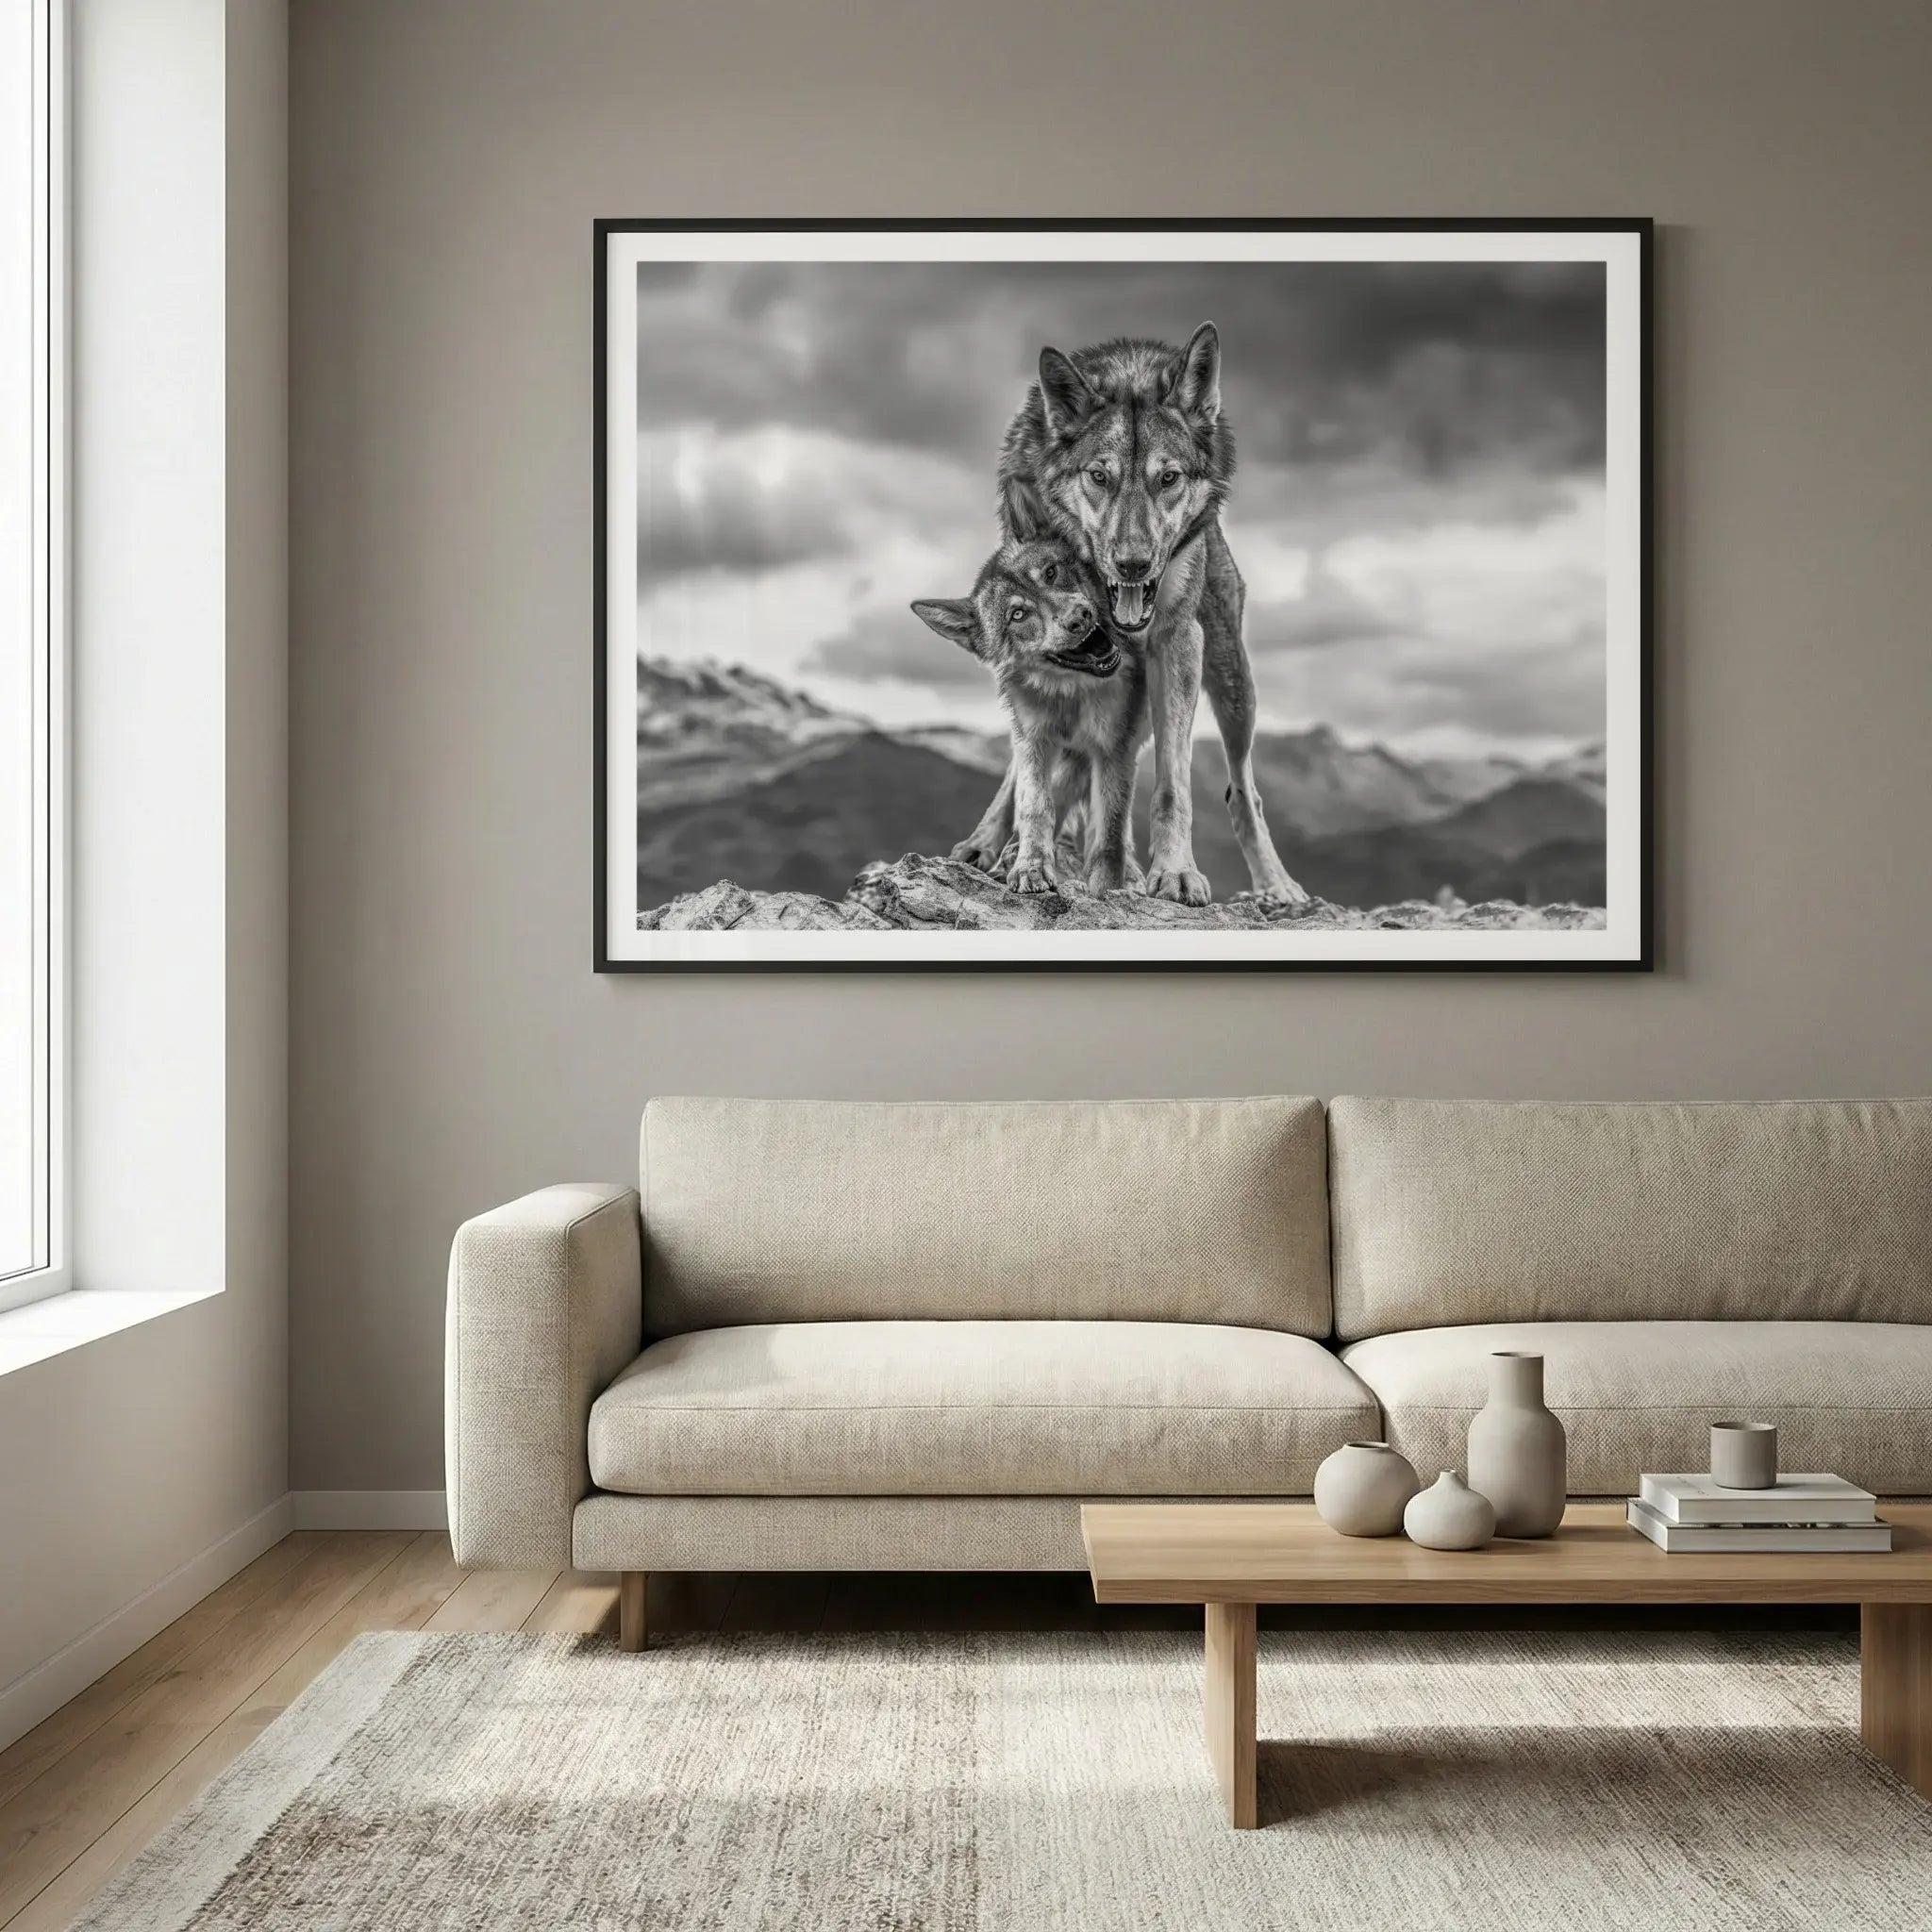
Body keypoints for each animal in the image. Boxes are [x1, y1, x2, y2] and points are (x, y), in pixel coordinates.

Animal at [913, 533, 1148, 895]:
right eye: (1018, 614)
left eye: (1051, 573)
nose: (1079, 617)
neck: (1069, 695)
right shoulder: (1033, 738)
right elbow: (1035, 805)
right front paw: (1031, 866)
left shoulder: (1113, 746)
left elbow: (1109, 829)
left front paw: (1107, 888)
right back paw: (983, 846)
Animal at [989, 322, 1307, 906]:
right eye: (1099, 476)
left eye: (1169, 478)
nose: (1133, 564)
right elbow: (1039, 772)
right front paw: (1032, 856)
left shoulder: (1178, 644)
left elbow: (1172, 783)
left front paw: (1173, 871)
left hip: (1234, 687)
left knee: (1243, 792)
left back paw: (1276, 885)